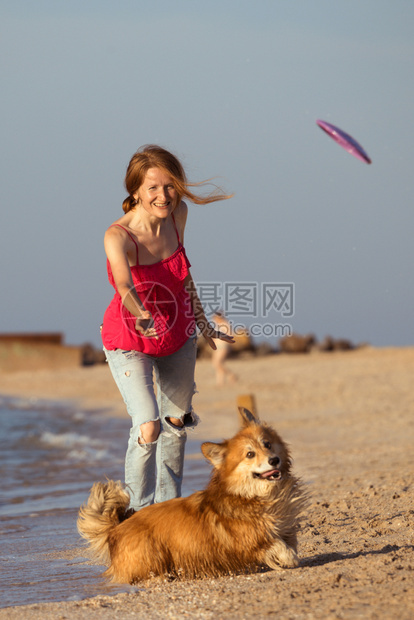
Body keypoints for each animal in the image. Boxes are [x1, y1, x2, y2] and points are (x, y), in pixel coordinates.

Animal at [77, 410, 308, 584]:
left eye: (267, 444)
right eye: (250, 454)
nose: (274, 460)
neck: (250, 495)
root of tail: (115, 529)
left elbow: (289, 541)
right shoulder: (251, 540)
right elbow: (280, 546)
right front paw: (289, 560)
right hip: (150, 549)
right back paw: (161, 577)